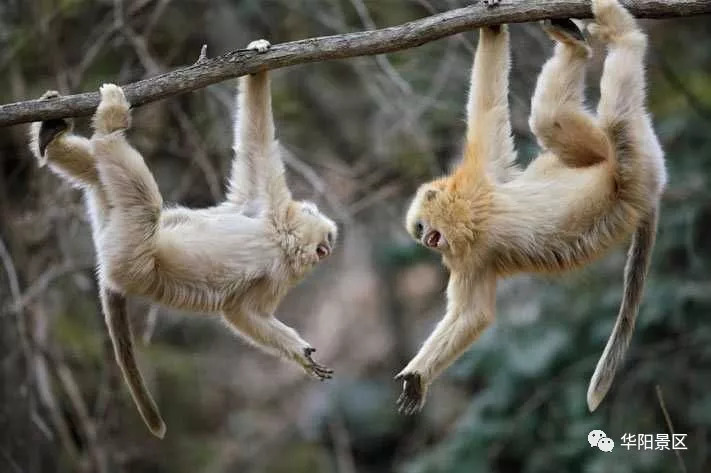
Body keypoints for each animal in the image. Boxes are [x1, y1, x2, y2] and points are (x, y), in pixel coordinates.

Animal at [29, 39, 338, 436]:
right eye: (324, 243)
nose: (326, 249)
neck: (277, 233)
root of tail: (104, 264)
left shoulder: (282, 268)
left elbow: (241, 312)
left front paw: (300, 355)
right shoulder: (264, 203)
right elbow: (256, 142)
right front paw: (258, 60)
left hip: (126, 255)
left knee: (132, 197)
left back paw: (74, 136)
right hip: (130, 252)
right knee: (138, 196)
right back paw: (89, 130)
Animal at [398, 0, 664, 412]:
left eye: (422, 228)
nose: (427, 241)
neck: (472, 216)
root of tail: (654, 186)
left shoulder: (478, 179)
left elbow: (487, 108)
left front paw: (491, 26)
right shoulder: (470, 254)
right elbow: (472, 315)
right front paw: (418, 377)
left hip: (631, 166)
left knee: (614, 121)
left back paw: (619, 33)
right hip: (624, 168)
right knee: (552, 119)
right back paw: (578, 46)